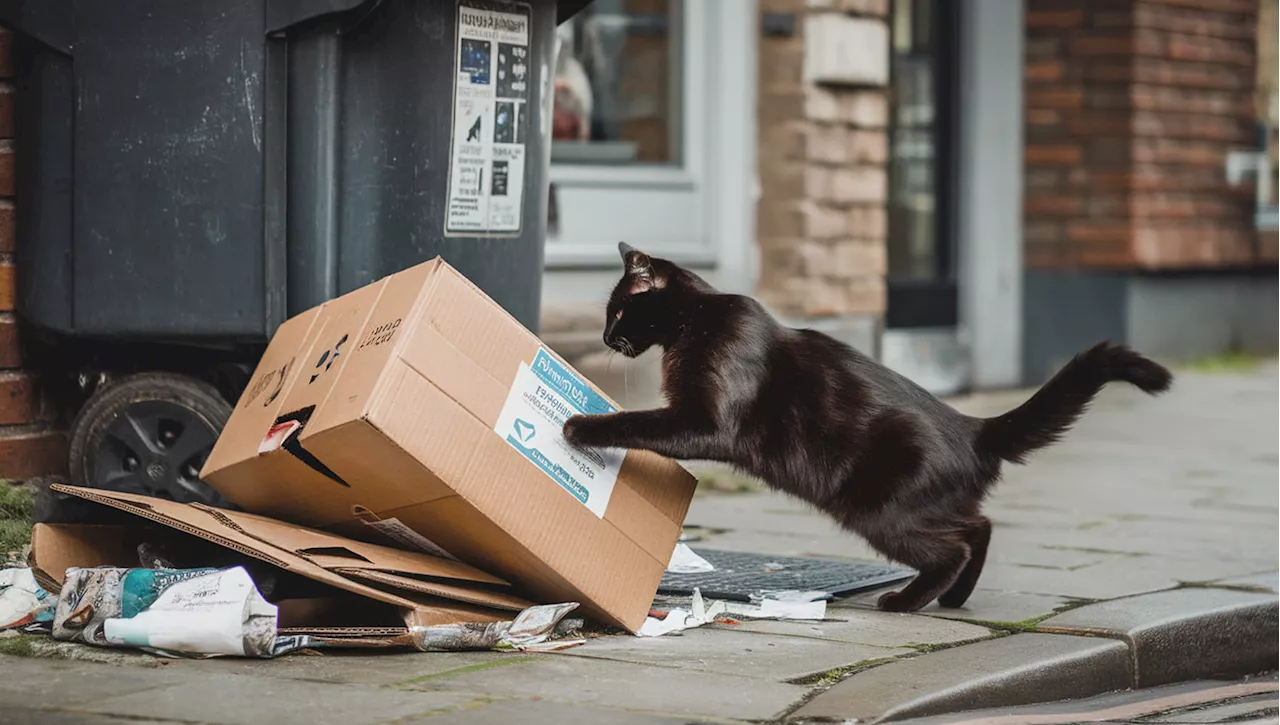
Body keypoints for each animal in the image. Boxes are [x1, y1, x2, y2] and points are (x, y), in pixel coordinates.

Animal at [560, 244, 1172, 614]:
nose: (608, 338)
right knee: (981, 527)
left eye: (620, 311)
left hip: (881, 512)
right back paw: (953, 600)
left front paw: (578, 423)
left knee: (954, 545)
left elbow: (637, 422)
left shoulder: (704, 421)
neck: (700, 318)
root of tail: (975, 428)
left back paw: (905, 601)